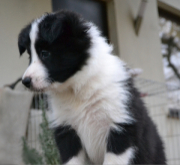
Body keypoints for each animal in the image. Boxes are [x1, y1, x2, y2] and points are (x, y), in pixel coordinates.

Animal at [18, 10, 166, 165]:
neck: (78, 88)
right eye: (29, 56)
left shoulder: (121, 126)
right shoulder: (67, 131)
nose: (25, 81)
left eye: (45, 53)